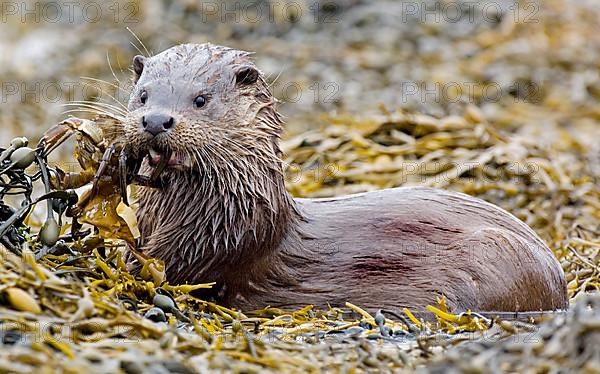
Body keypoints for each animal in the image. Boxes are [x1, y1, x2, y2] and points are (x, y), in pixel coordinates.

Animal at [123, 42, 568, 314]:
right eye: (143, 96)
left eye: (201, 99)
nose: (156, 120)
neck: (227, 212)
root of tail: (557, 278)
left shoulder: (212, 250)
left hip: (494, 255)